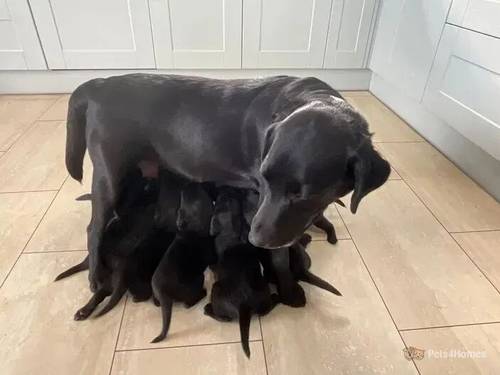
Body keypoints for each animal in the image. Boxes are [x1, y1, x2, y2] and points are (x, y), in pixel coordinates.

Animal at [65, 75, 390, 290]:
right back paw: (95, 276)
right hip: (110, 175)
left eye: (304, 195)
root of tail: (98, 84)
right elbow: (280, 256)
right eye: (265, 178)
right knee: (94, 228)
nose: (254, 239)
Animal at [151, 184, 216, 346]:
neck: (191, 228)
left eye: (181, 206)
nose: (189, 184)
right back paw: (203, 293)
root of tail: (163, 293)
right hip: (197, 279)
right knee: (188, 303)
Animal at [205, 188, 280, 358]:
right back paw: (275, 297)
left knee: (223, 318)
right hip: (263, 292)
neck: (233, 229)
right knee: (266, 309)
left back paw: (207, 309)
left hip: (216, 290)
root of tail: (243, 305)